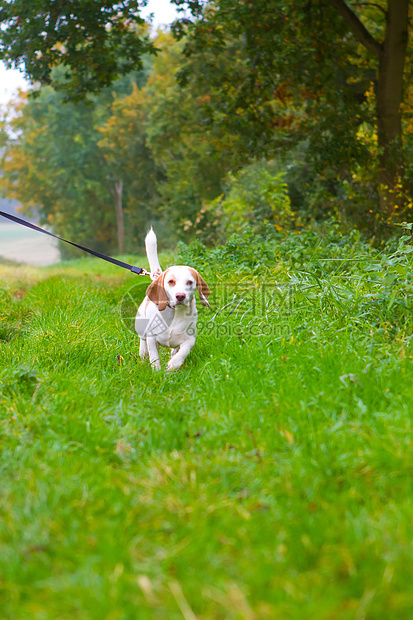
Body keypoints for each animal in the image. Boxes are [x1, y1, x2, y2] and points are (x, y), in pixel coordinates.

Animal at [135, 229, 209, 370]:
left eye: (190, 282)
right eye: (171, 282)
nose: (180, 296)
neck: (175, 313)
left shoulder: (189, 340)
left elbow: (183, 352)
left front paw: (173, 365)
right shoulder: (152, 339)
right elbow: (154, 357)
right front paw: (157, 371)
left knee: (174, 351)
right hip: (141, 326)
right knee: (143, 341)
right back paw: (143, 354)